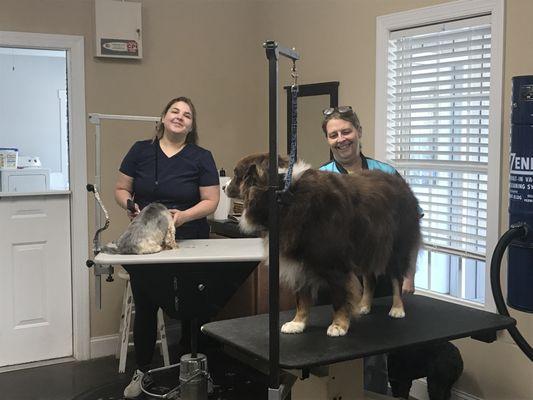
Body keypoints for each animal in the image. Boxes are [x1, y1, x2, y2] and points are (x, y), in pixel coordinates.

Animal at [224, 153, 420, 338]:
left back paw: (397, 308)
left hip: (395, 247)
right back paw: (364, 305)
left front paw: (339, 325)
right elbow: (301, 298)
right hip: (367, 245)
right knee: (369, 279)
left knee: (396, 279)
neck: (286, 196)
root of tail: (401, 182)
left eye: (237, 174)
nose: (224, 186)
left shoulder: (335, 261)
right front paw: (298, 323)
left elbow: (340, 297)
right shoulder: (299, 261)